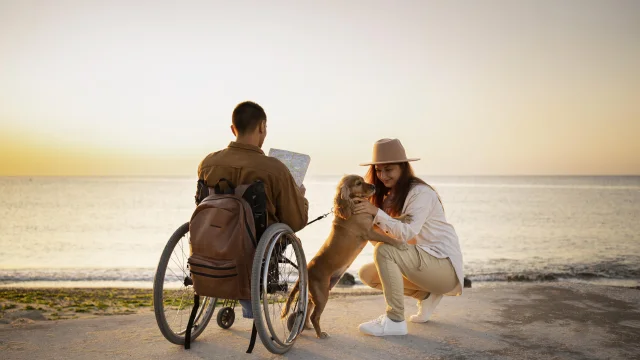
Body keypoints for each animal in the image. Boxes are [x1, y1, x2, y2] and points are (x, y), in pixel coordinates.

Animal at [280, 174, 410, 338]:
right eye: (358, 183)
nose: (374, 186)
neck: (352, 205)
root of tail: (305, 271)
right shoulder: (369, 232)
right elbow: (387, 237)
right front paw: (400, 244)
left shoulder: (373, 224)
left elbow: (386, 219)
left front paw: (404, 216)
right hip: (322, 295)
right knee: (314, 315)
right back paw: (320, 334)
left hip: (313, 295)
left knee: (308, 310)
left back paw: (308, 327)